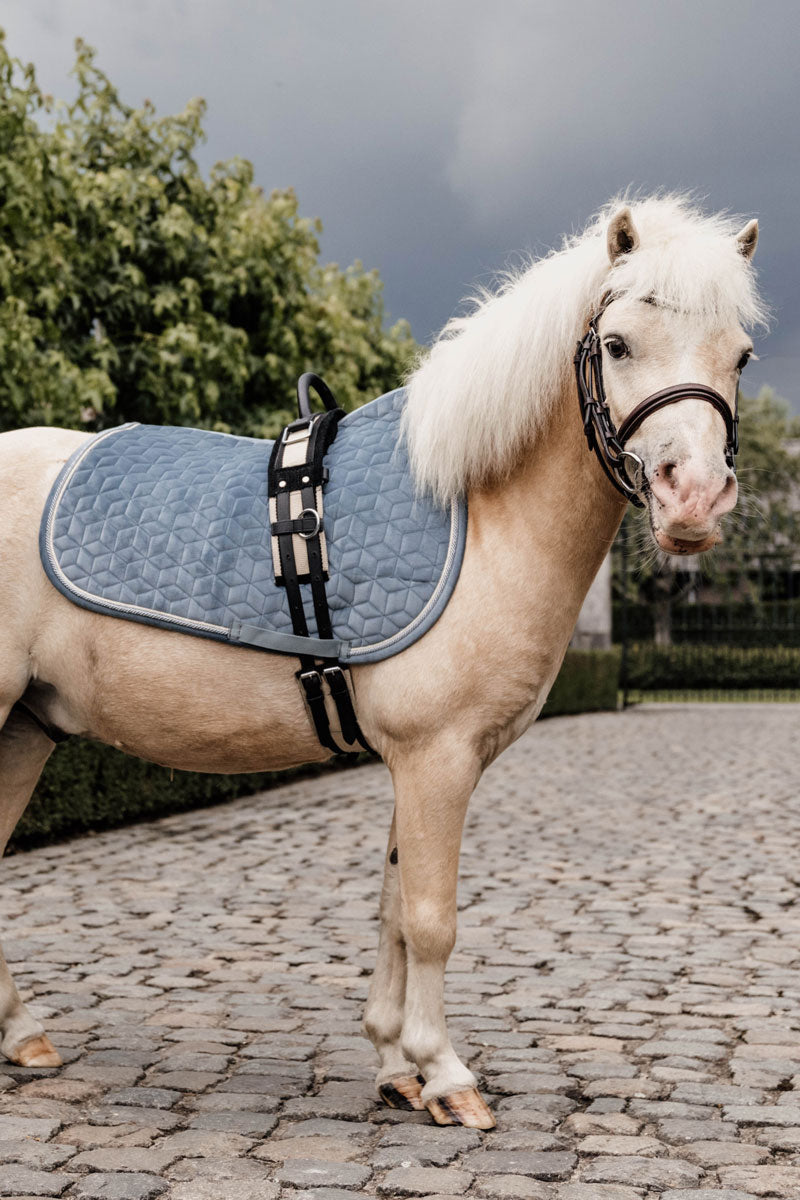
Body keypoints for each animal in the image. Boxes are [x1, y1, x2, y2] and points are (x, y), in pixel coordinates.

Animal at [0, 195, 763, 1130]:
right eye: (617, 344)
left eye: (741, 355)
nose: (693, 501)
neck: (478, 513)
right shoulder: (437, 758)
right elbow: (432, 916)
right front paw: (446, 1075)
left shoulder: (417, 762)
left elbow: (394, 908)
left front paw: (395, 1065)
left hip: (26, 729)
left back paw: (24, 1036)